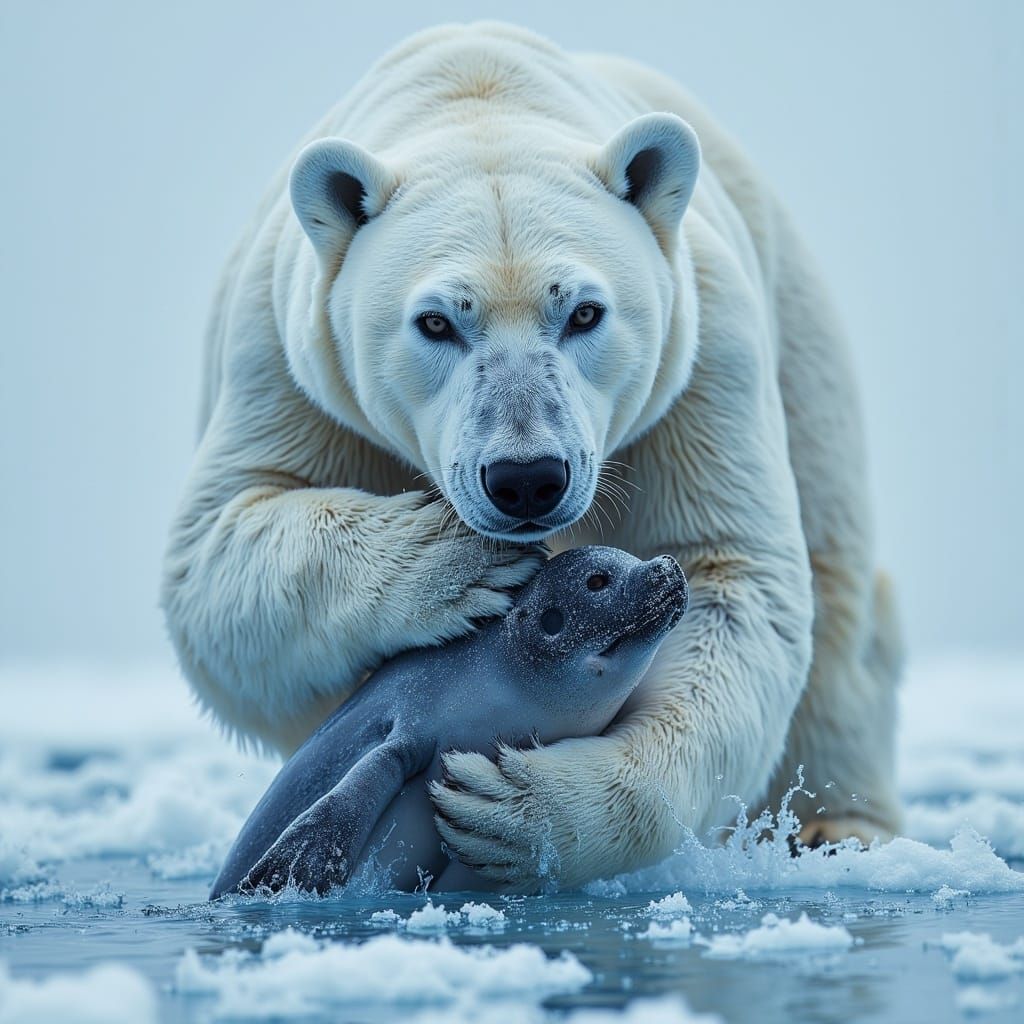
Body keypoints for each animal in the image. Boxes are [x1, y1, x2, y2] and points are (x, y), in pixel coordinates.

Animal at [162, 21, 903, 891]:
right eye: (437, 321)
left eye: (584, 312)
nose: (526, 481)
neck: (481, 86)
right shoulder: (287, 362)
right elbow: (219, 551)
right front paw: (463, 567)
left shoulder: (704, 362)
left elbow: (731, 573)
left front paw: (522, 809)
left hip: (801, 340)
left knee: (841, 595)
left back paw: (839, 827)